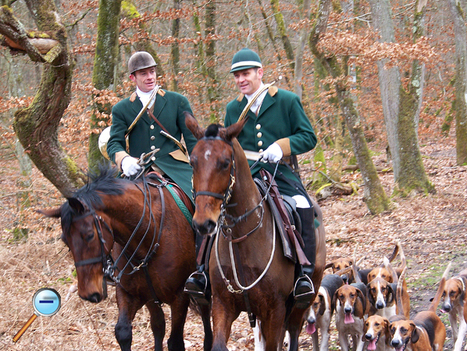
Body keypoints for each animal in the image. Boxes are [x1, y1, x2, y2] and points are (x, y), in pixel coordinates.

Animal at [39, 168, 213, 351]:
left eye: (90, 234)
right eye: (65, 240)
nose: (88, 294)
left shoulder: (179, 296)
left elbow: (175, 342)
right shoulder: (133, 294)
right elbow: (126, 331)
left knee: (205, 310)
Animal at [185, 114, 328, 350]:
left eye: (225, 163)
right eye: (192, 162)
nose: (203, 223)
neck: (241, 237)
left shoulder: (275, 310)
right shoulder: (223, 305)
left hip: (305, 297)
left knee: (294, 331)